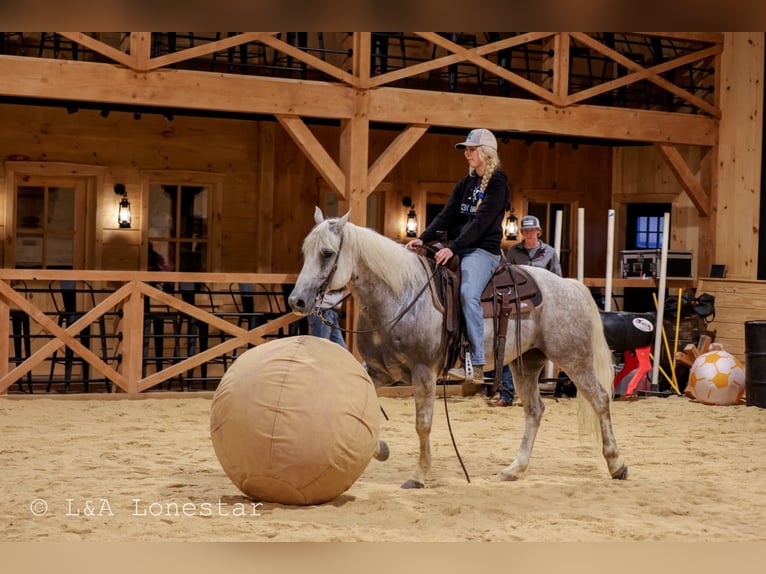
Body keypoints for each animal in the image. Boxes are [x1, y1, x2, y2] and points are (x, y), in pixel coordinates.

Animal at [288, 208, 628, 489]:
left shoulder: (423, 372)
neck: (400, 295)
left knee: (600, 399)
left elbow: (423, 424)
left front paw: (418, 475)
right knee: (535, 410)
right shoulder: (379, 371)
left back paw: (616, 464)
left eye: (327, 253)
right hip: (526, 363)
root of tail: (568, 284)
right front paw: (381, 450)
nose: (297, 300)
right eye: (305, 251)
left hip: (573, 358)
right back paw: (514, 469)